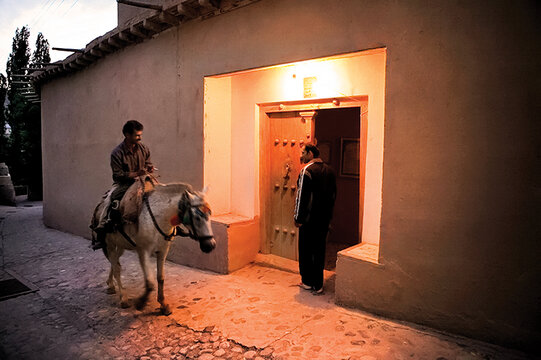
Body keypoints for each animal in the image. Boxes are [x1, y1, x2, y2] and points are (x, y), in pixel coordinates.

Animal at [89, 181, 214, 314]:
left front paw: (163, 304)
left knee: (115, 263)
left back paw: (111, 285)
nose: (210, 245)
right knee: (117, 268)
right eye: (197, 217)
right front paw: (141, 302)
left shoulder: (163, 250)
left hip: (121, 245)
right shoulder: (143, 251)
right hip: (110, 244)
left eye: (210, 213)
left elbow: (160, 278)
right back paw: (123, 298)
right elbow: (149, 282)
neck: (159, 217)